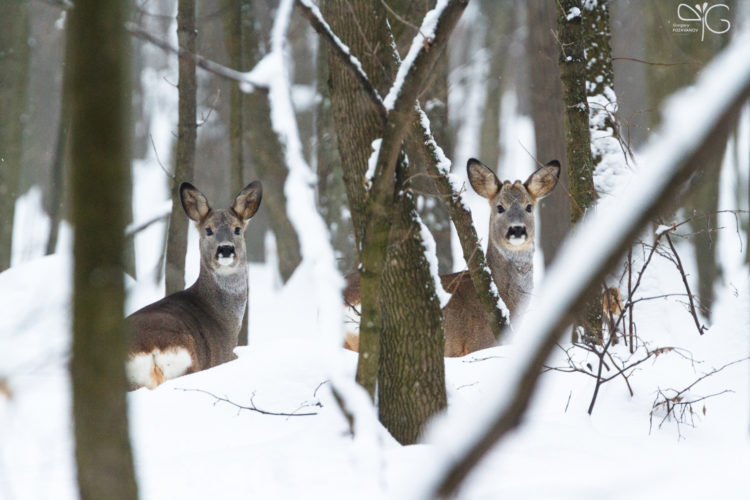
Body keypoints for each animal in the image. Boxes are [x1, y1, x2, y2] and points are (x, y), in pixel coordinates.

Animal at [125, 181, 262, 390]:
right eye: (208, 230)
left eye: (237, 229)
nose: (226, 249)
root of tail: (149, 349)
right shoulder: (224, 356)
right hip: (188, 363)